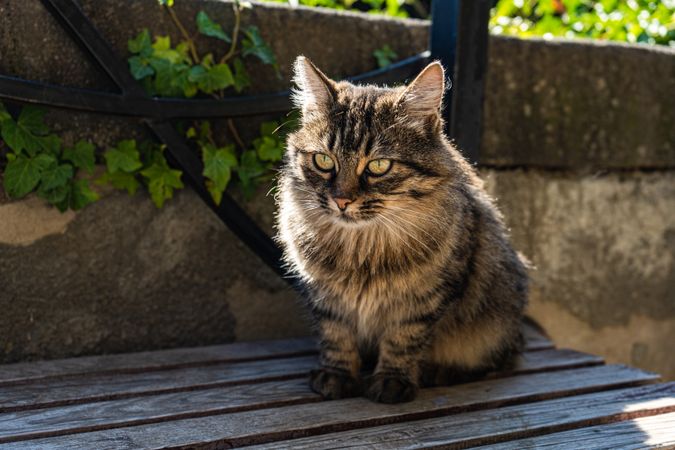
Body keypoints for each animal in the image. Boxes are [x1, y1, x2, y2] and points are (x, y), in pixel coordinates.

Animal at [274, 55, 528, 404]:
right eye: (324, 161)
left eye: (379, 166)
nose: (341, 200)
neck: (362, 248)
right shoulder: (325, 297)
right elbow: (336, 336)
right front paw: (337, 375)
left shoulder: (424, 301)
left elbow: (402, 340)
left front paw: (391, 381)